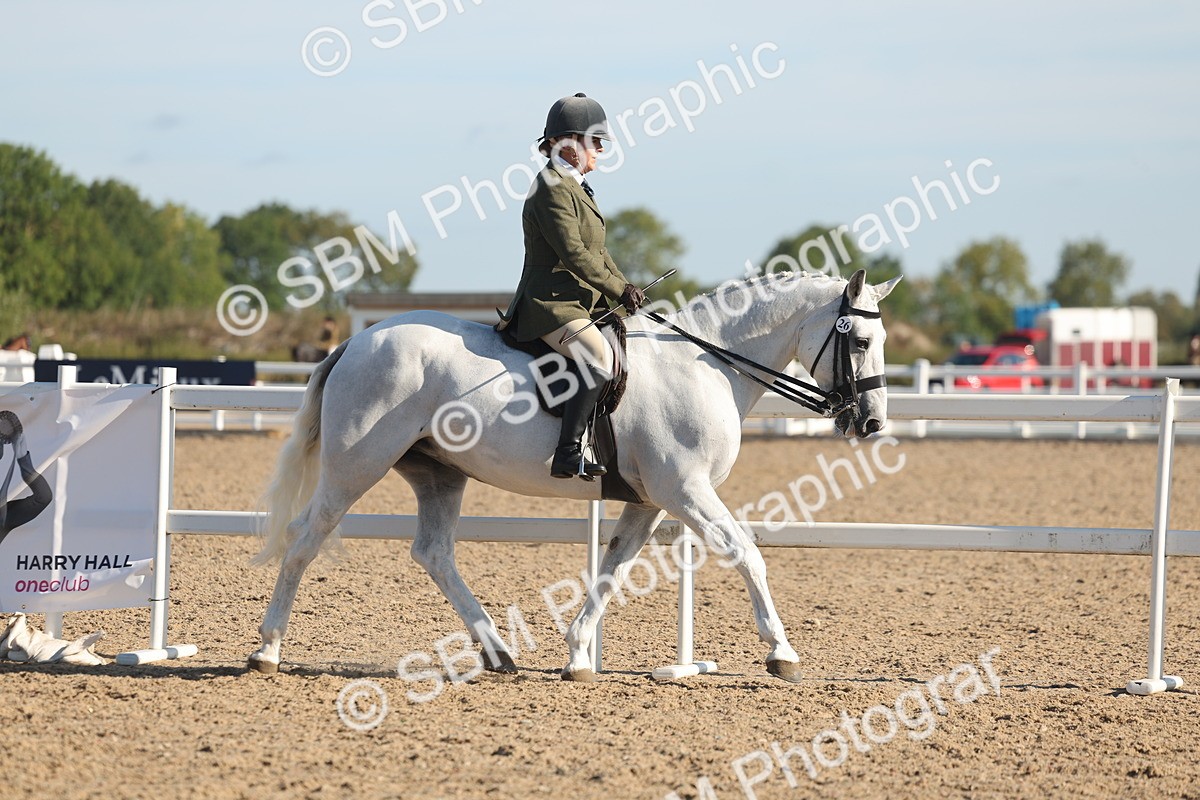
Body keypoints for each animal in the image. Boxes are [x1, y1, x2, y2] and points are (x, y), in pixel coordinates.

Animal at [248, 268, 899, 682]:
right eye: (860, 340)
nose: (870, 422)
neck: (706, 363)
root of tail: (358, 341)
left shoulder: (650, 500)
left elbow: (613, 570)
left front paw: (579, 657)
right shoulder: (685, 490)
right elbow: (747, 553)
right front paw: (781, 652)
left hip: (439, 474)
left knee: (433, 552)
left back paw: (498, 653)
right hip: (356, 465)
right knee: (305, 539)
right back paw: (267, 651)